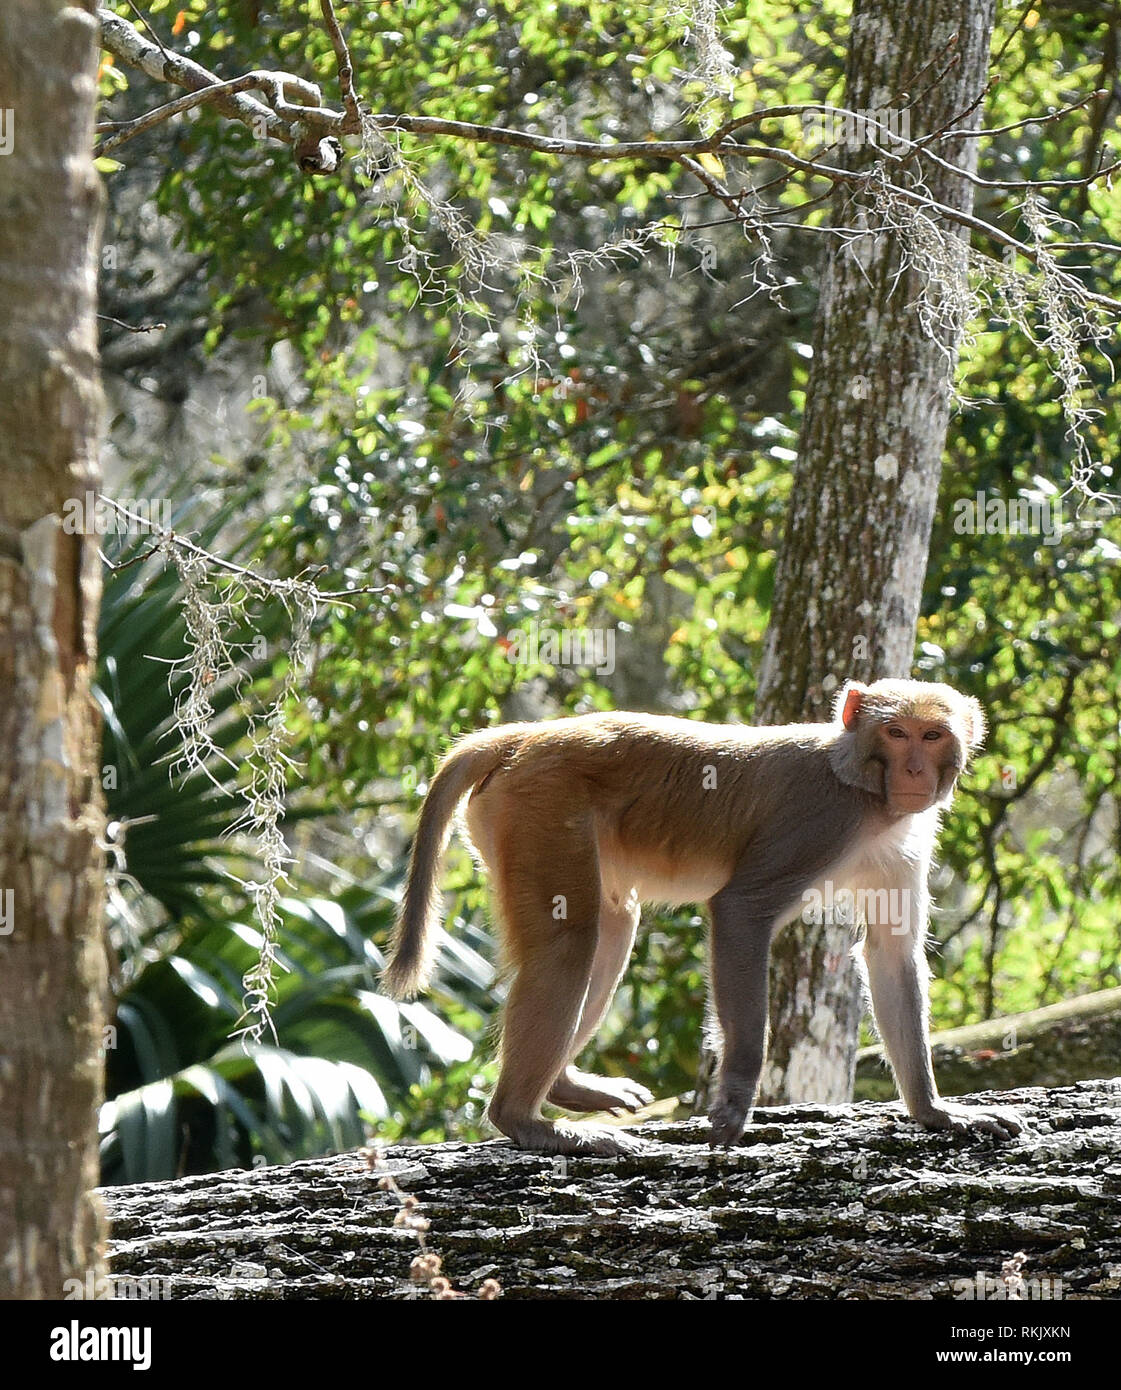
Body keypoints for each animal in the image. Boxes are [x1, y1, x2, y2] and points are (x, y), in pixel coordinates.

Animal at [382, 678, 1023, 1157]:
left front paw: (935, 1112)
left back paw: (564, 1085)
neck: (866, 792)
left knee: (612, 929)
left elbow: (890, 954)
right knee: (571, 942)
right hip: (540, 808)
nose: (915, 772)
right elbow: (740, 910)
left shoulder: (903, 845)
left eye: (932, 735)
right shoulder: (821, 820)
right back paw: (525, 1120)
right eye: (895, 733)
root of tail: (524, 736)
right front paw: (736, 1097)